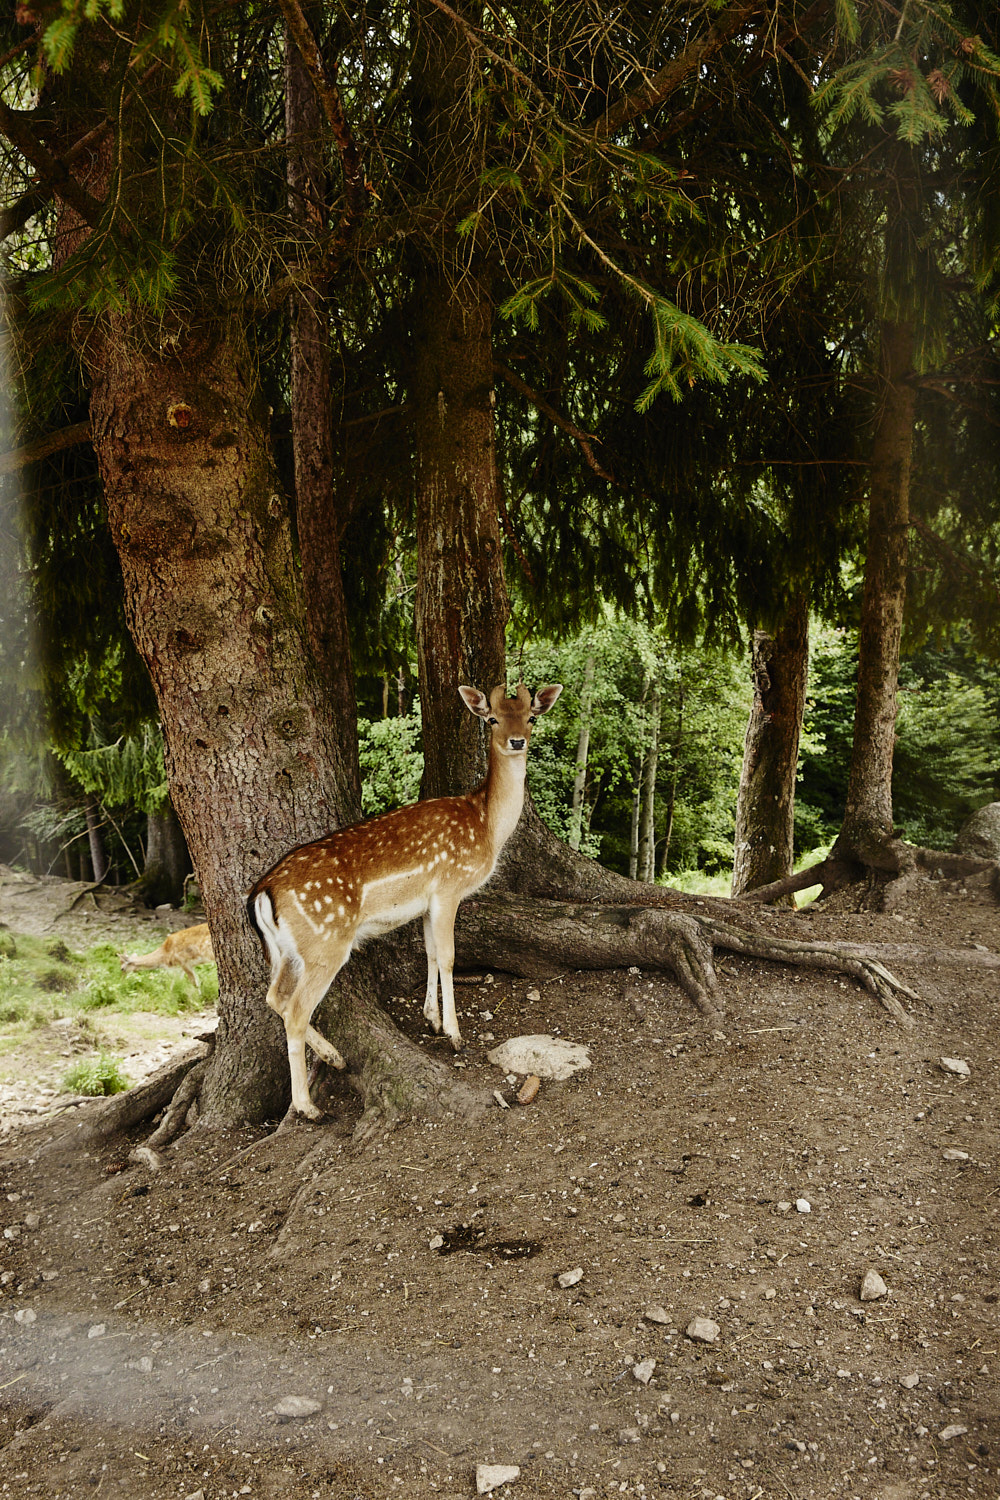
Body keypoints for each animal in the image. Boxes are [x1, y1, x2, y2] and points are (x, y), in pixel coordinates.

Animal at [248, 681, 563, 1116]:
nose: (517, 740)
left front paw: (431, 1019)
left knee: (274, 997)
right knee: (294, 1010)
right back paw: (308, 1107)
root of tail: (262, 893)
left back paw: (334, 1057)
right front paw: (455, 1034)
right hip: (325, 943)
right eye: (492, 719)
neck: (486, 826)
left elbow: (429, 952)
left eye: (531, 716)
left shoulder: (428, 901)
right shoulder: (449, 886)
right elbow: (448, 956)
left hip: (283, 951)